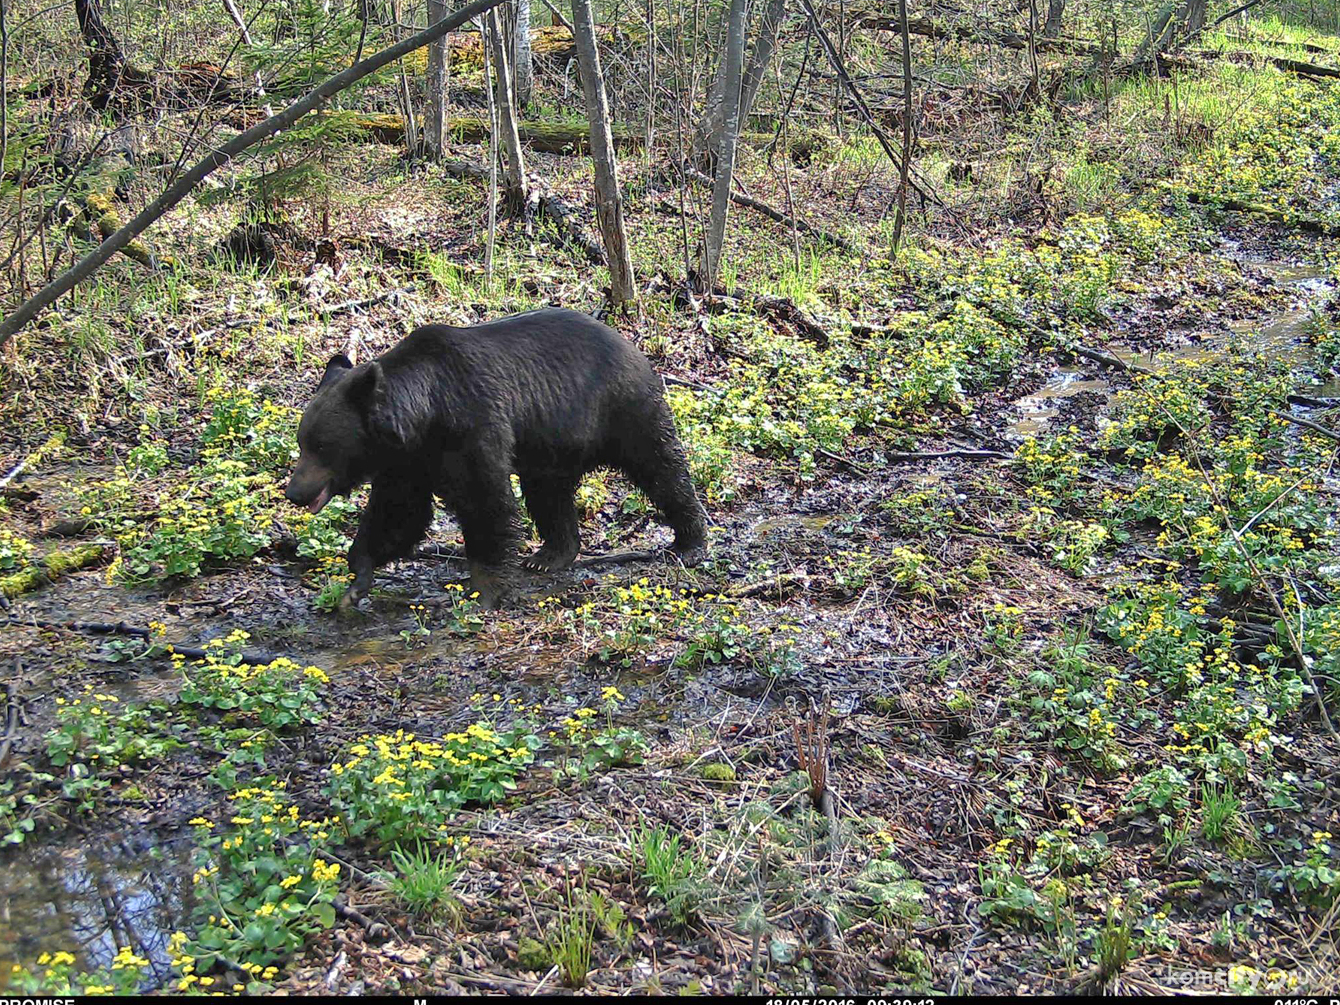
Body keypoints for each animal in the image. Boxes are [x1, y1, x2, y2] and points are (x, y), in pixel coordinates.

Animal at [278, 306, 707, 611]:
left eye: (321, 446)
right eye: (303, 441)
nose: (294, 492)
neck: (424, 415)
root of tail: (630, 342)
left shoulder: (471, 424)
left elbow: (485, 500)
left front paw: (485, 588)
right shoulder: (408, 460)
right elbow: (399, 513)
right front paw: (357, 580)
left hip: (619, 408)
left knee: (660, 466)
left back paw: (689, 539)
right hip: (550, 446)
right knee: (549, 496)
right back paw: (550, 554)